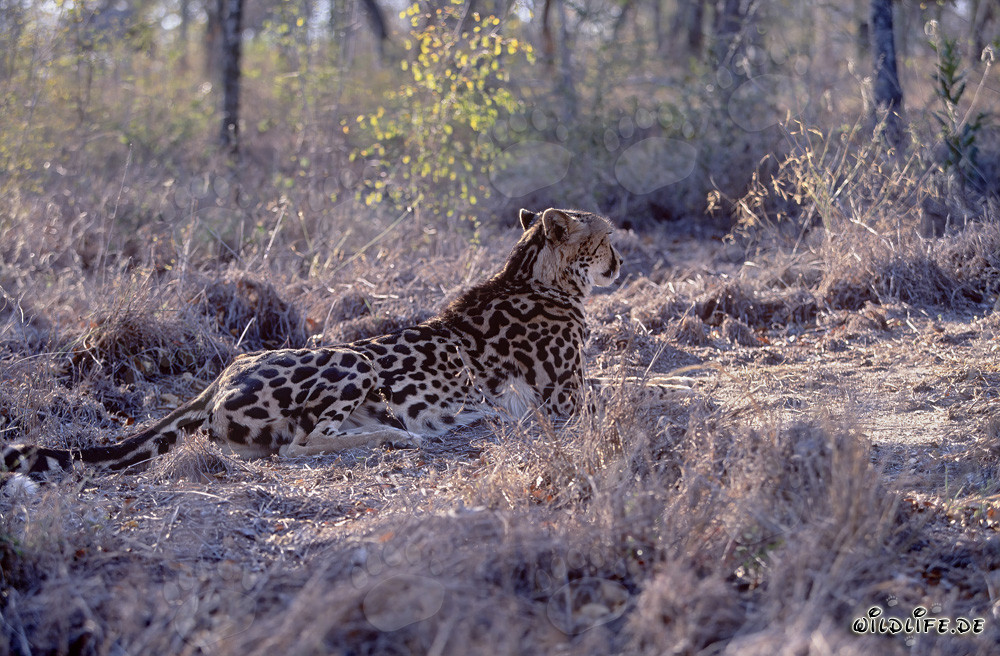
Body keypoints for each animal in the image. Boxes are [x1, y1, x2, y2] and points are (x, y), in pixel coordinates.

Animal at [3, 207, 623, 480]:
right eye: (608, 237)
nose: (621, 262)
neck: (534, 274)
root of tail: (222, 375)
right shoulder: (561, 402)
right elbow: (621, 392)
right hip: (352, 357)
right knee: (299, 446)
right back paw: (398, 437)